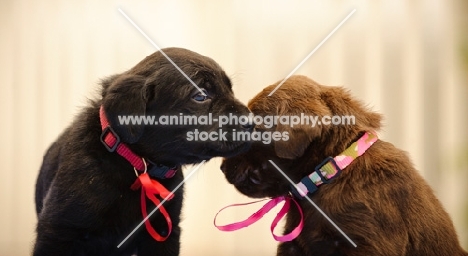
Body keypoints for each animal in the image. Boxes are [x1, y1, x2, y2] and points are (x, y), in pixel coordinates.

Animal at [33, 48, 252, 256]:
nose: (253, 122)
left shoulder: (164, 233)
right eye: (200, 96)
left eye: (230, 89)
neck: (134, 164)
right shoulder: (58, 231)